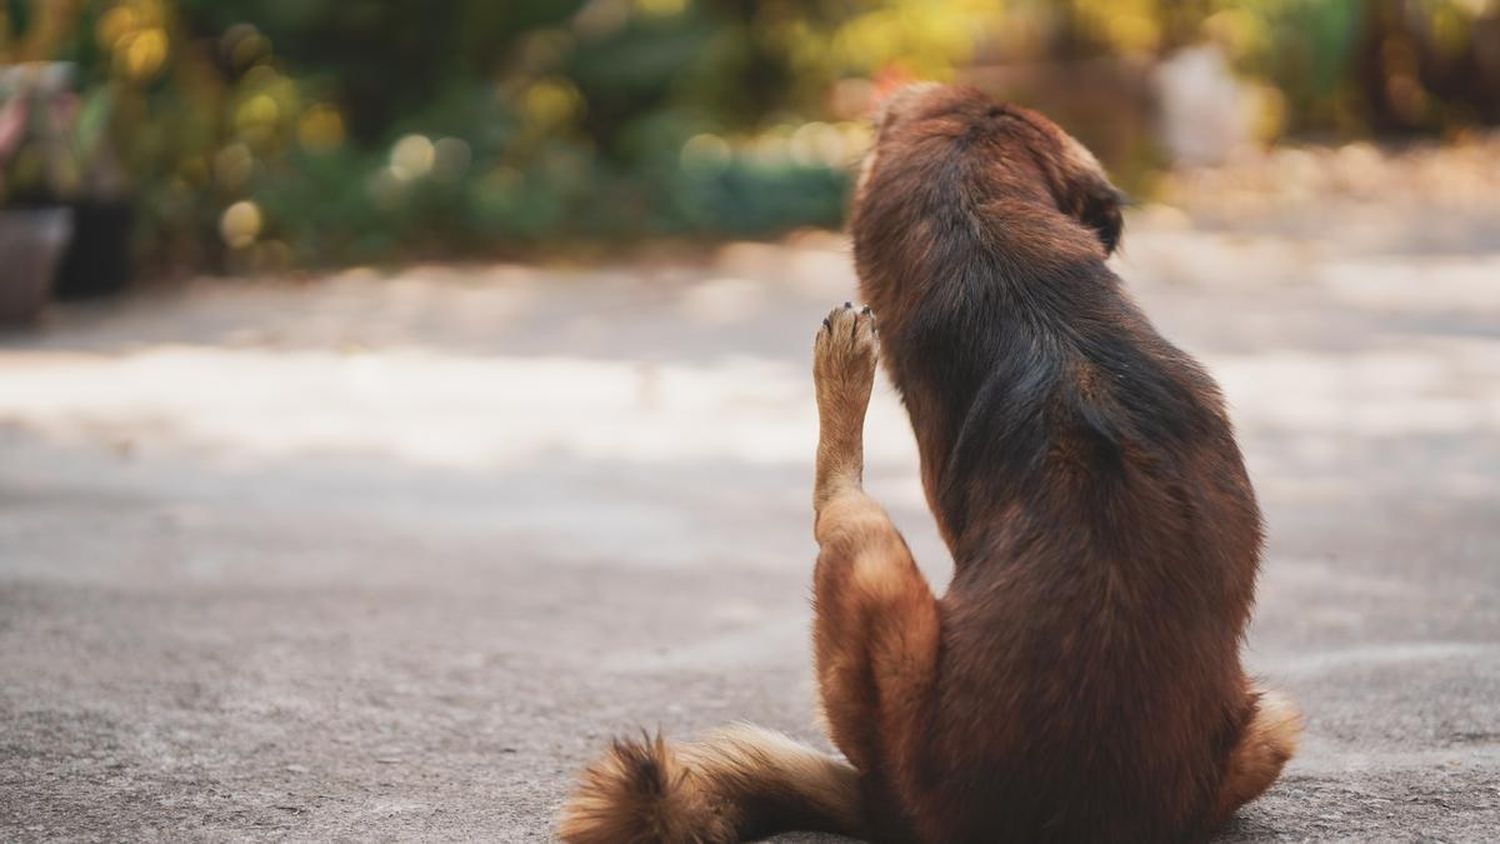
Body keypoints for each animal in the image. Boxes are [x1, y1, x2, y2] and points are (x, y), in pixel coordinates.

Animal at [558, 84, 1296, 844]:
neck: (1014, 274)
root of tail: (895, 809)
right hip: (1271, 724)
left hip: (872, 571)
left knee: (835, 503)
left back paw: (843, 370)